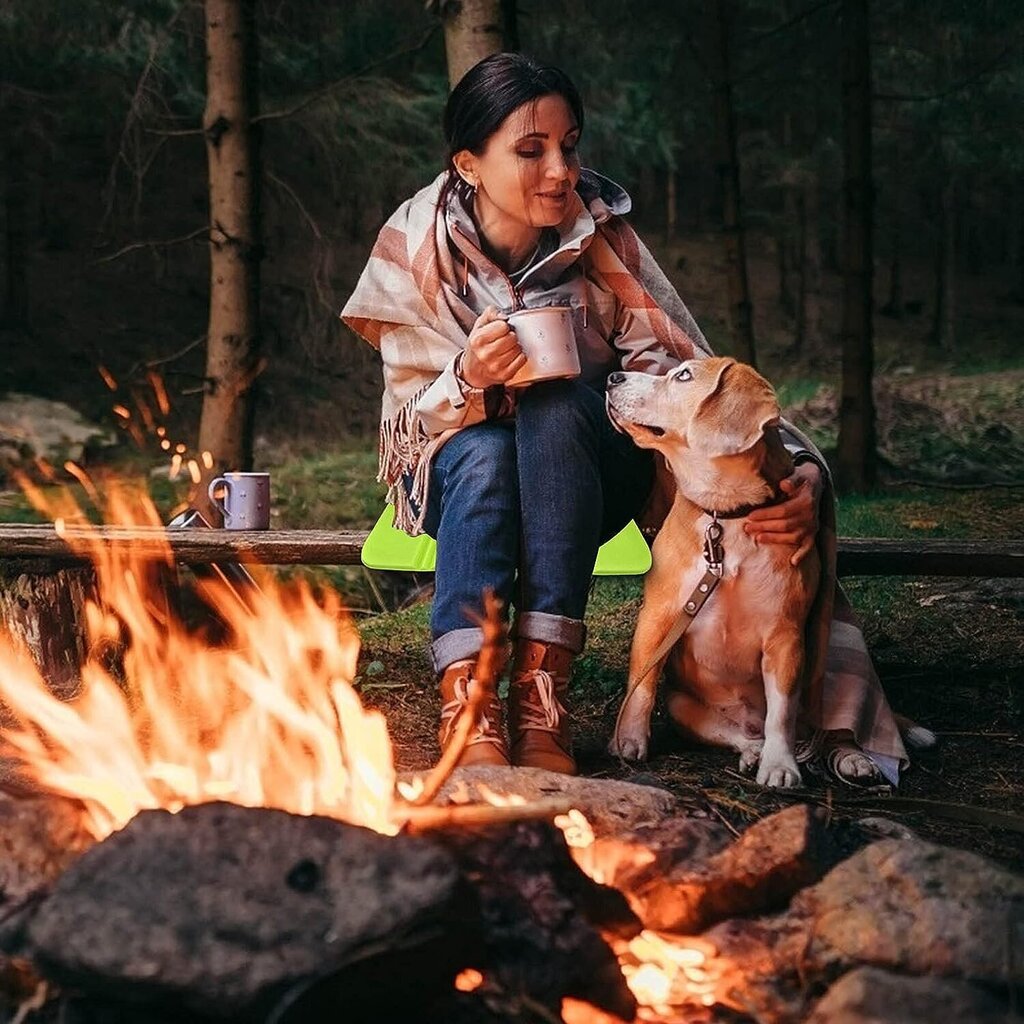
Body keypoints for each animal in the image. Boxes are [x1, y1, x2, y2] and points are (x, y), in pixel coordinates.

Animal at [606, 356, 823, 786]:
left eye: (683, 376)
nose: (612, 377)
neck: (726, 515)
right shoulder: (658, 616)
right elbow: (641, 685)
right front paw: (629, 741)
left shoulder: (785, 636)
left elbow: (781, 713)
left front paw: (780, 764)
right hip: (682, 705)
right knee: (736, 736)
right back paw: (752, 750)